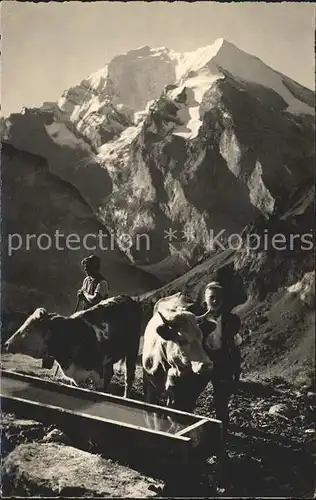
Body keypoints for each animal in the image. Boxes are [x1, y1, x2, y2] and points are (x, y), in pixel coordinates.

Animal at [3, 292, 141, 398]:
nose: (6, 344)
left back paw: (125, 397)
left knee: (129, 376)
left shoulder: (97, 372)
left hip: (132, 351)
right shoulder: (76, 377)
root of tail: (127, 297)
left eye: (28, 329)